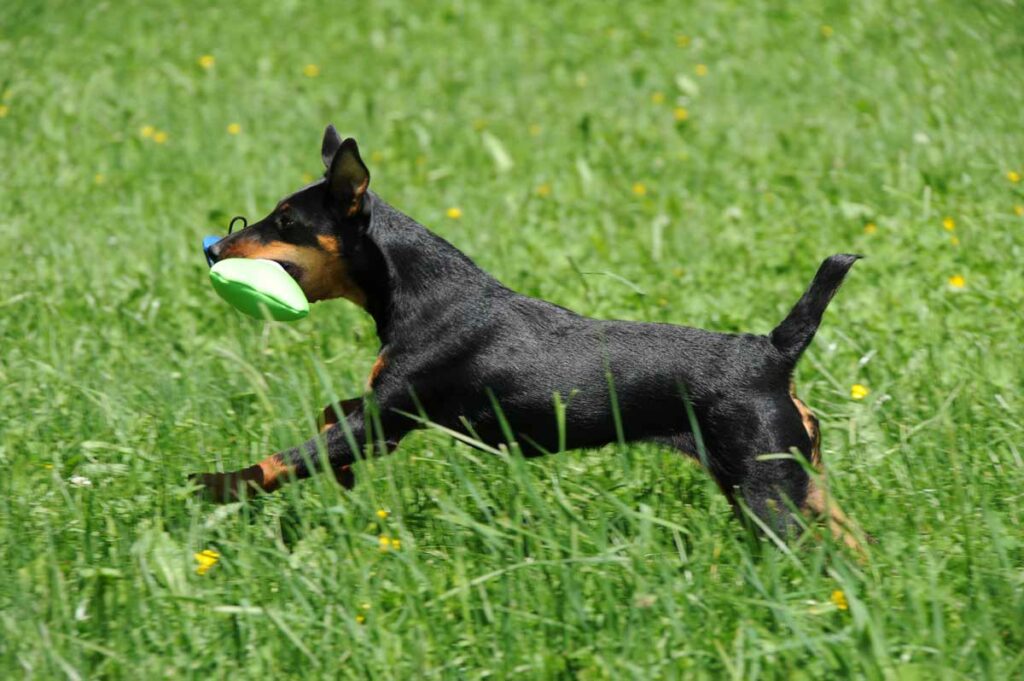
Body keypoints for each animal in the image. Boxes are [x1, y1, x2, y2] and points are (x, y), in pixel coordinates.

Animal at [193, 124, 864, 552]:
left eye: (285, 222)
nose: (215, 249)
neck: (418, 290)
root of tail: (772, 351)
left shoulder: (387, 418)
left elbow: (280, 460)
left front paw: (218, 485)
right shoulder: (384, 420)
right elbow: (329, 417)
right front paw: (341, 474)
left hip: (766, 492)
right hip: (793, 480)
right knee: (853, 539)